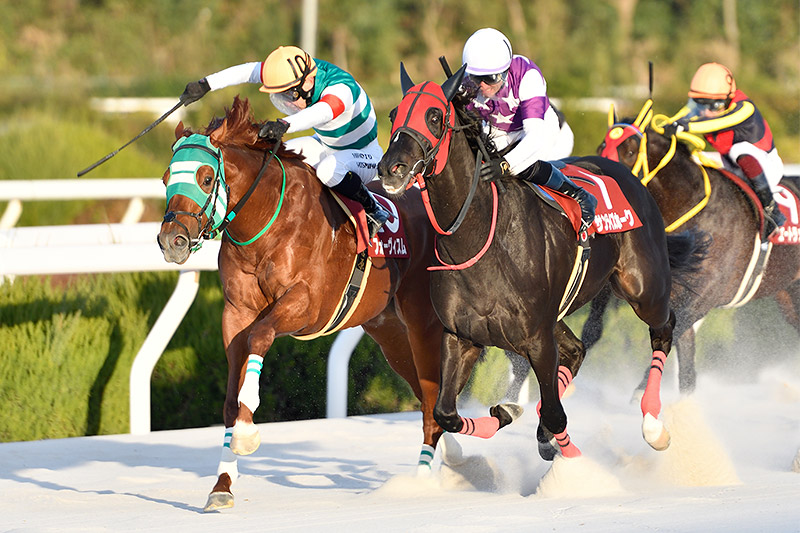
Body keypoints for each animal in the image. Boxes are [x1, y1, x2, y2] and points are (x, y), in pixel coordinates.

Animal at [157, 96, 477, 511]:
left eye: (206, 178)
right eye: (166, 178)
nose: (172, 240)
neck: (265, 223)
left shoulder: (306, 306)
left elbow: (260, 338)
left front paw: (247, 425)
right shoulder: (235, 313)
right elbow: (229, 399)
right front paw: (222, 485)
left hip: (423, 322)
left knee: (430, 395)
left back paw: (423, 480)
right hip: (389, 332)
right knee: (428, 392)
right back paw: (452, 453)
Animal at [377, 65, 704, 459]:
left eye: (435, 116)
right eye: (393, 115)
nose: (390, 169)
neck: (481, 238)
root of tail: (629, 175)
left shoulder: (537, 340)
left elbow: (554, 413)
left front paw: (570, 458)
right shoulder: (462, 336)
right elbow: (446, 414)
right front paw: (508, 411)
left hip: (643, 288)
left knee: (664, 329)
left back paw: (653, 424)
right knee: (577, 350)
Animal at [589, 102, 800, 393]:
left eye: (630, 151)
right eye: (601, 148)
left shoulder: (705, 297)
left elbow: (673, 339)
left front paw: (642, 392)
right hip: (788, 295)